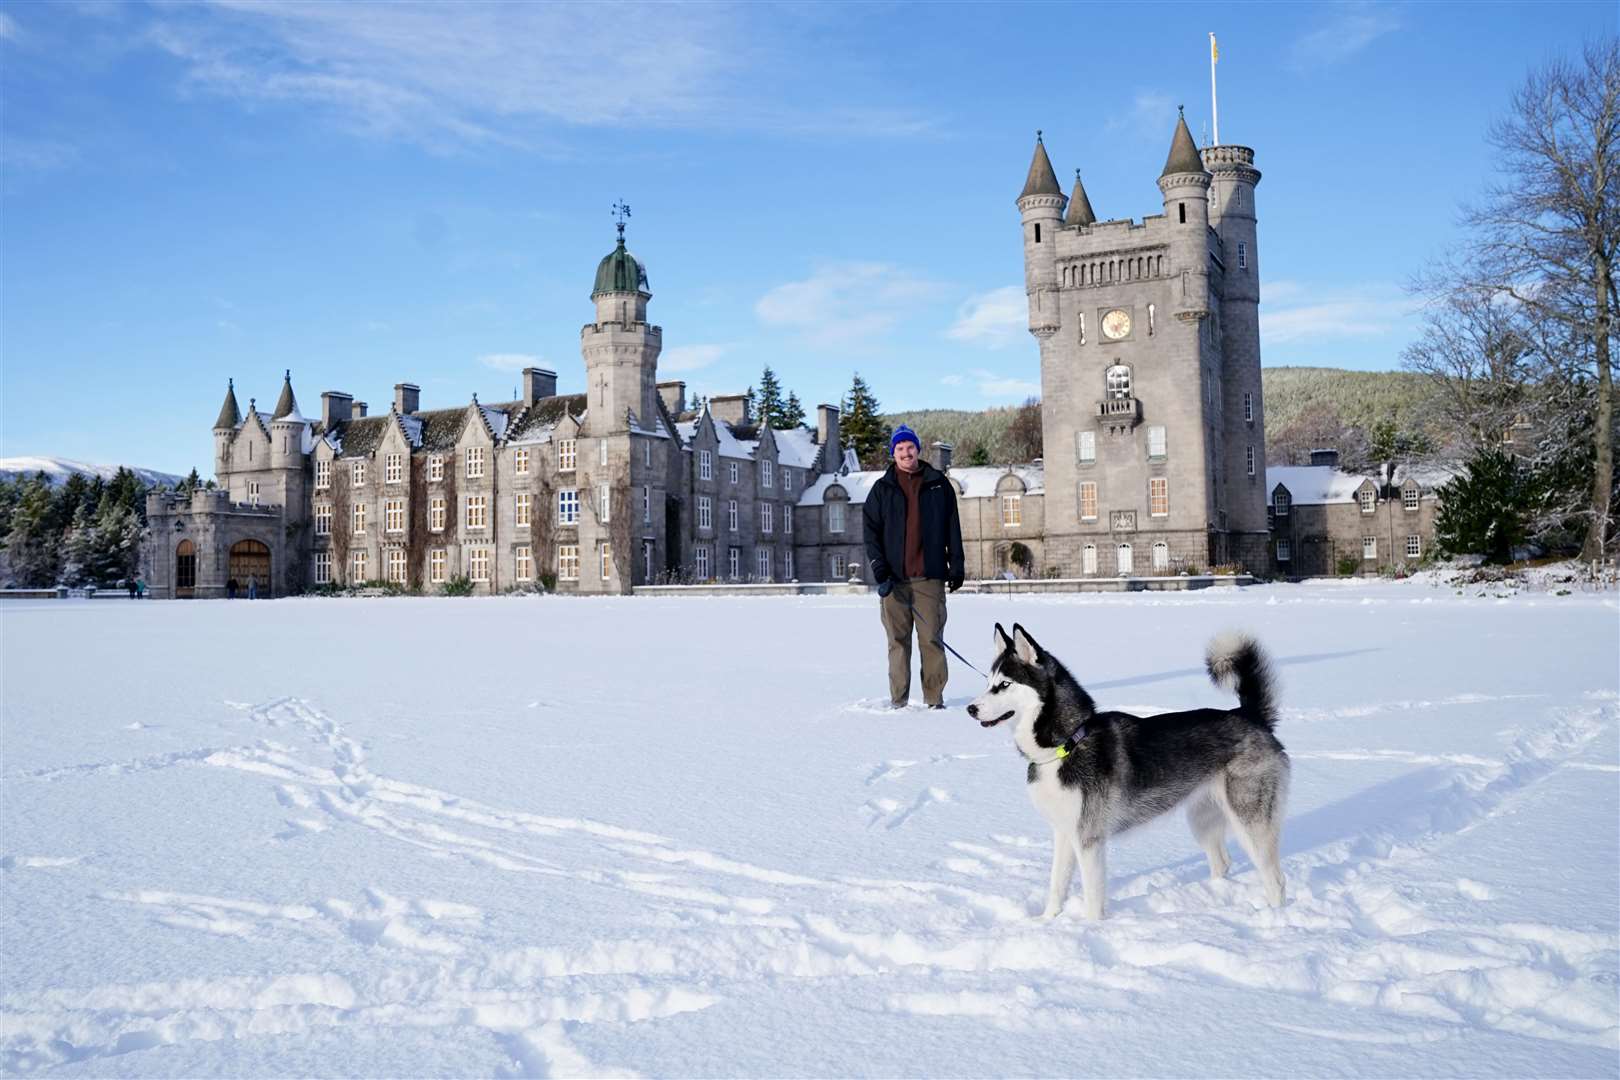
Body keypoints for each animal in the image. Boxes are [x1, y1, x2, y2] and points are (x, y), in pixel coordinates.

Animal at [959, 625, 1289, 919]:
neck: (1067, 744)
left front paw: (1090, 929)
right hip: (1202, 820)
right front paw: (1047, 921)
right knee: (1222, 862)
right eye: (988, 682)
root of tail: (1250, 715)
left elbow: (1093, 896)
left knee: (1275, 878)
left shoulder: (1089, 839)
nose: (970, 709)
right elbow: (1057, 885)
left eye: (1004, 685)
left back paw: (1275, 918)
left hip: (1250, 822)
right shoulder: (1064, 833)